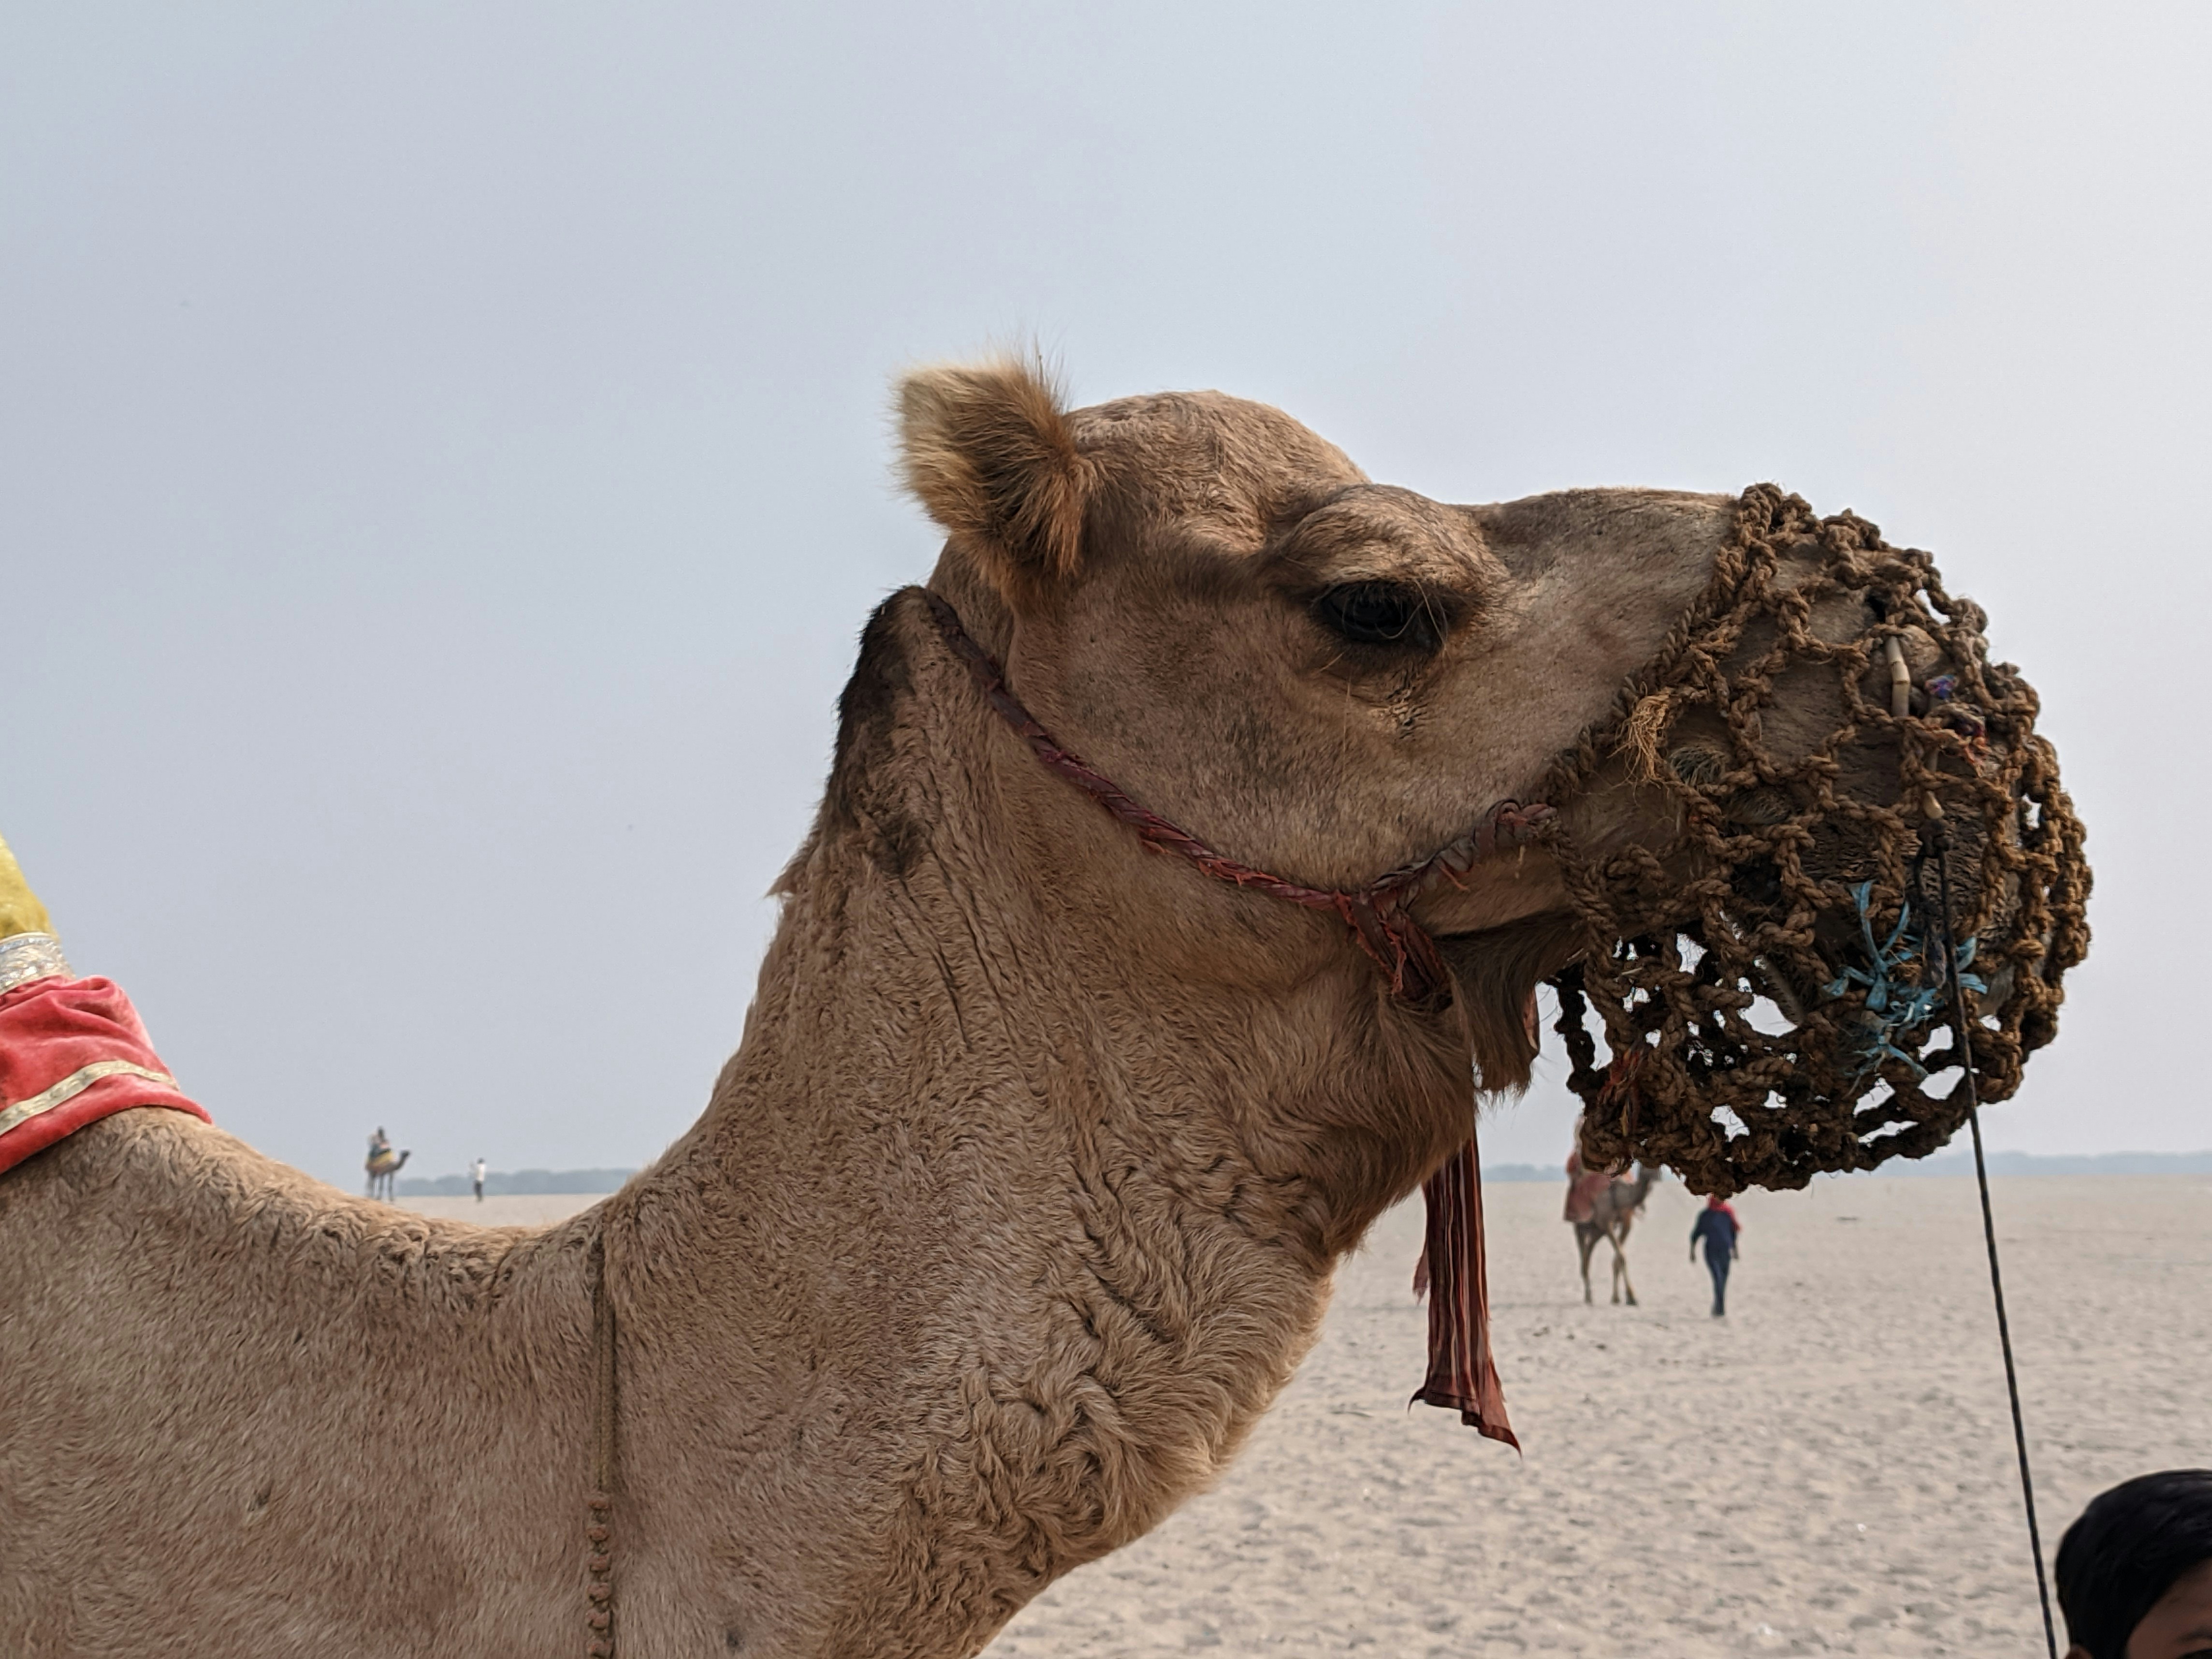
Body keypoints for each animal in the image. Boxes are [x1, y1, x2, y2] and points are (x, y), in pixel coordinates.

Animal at [1571, 1163, 1657, 1306]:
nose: (1656, 1176)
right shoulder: (1606, 1223)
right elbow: (1621, 1257)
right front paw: (1632, 1297)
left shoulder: (1626, 1222)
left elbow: (1618, 1259)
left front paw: (1617, 1297)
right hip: (1580, 1226)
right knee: (1584, 1254)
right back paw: (1588, 1296)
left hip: (1597, 1231)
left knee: (1588, 1251)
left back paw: (1590, 1294)